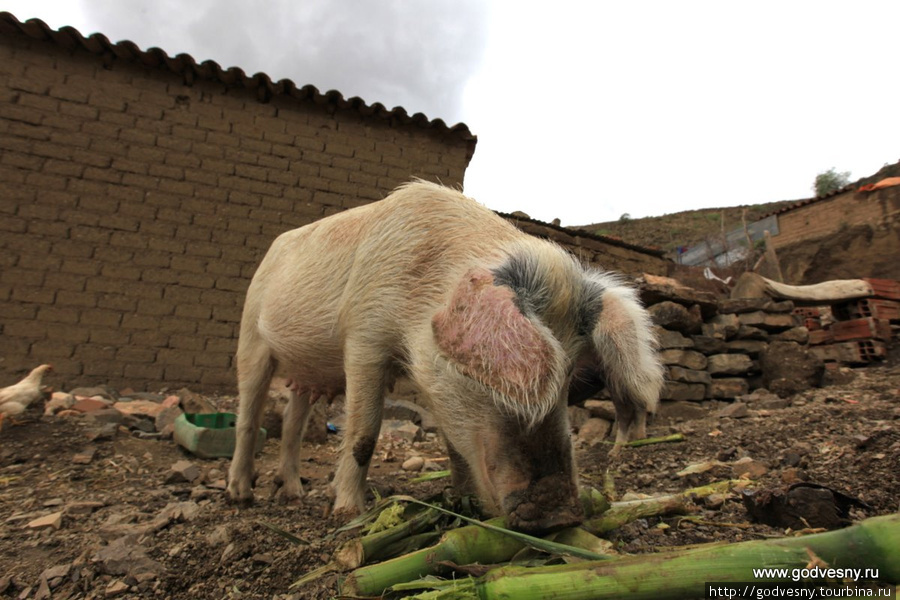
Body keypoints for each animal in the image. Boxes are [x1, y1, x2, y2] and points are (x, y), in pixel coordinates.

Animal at [225, 179, 660, 536]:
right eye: (486, 376)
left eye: (569, 374)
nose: (559, 512)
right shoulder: (364, 336)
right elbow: (364, 434)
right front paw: (348, 514)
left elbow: (453, 443)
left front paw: (464, 505)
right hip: (250, 334)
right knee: (248, 417)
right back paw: (240, 495)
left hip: (305, 374)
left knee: (292, 424)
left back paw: (293, 494)